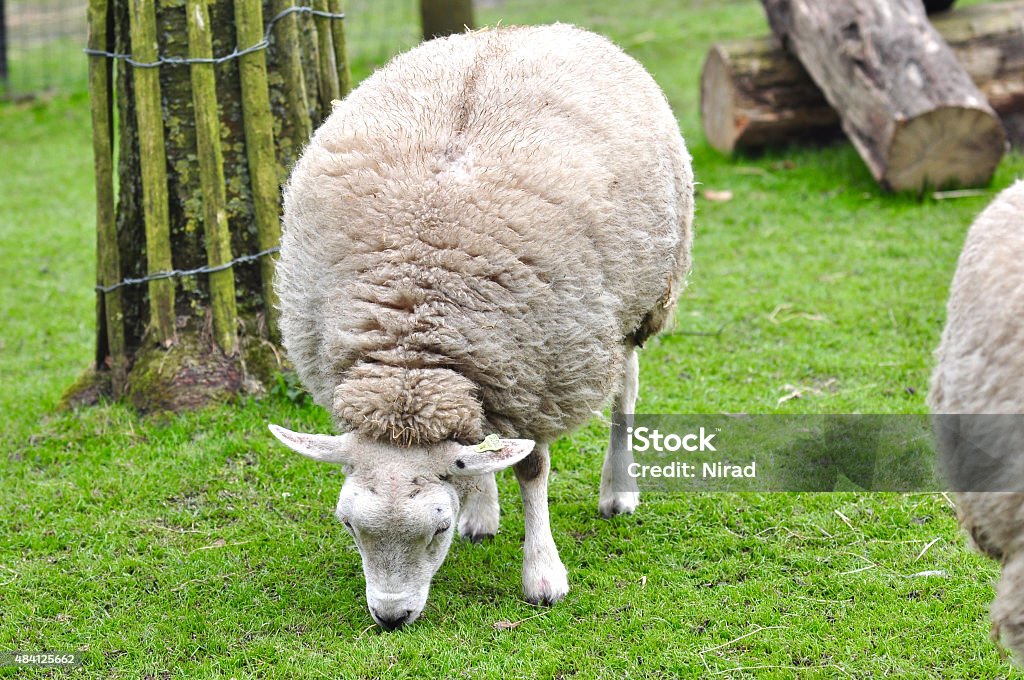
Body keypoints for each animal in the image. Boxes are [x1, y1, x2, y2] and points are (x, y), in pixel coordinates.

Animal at [266, 23, 696, 630]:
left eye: (437, 527)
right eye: (347, 523)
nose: (391, 617)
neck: (413, 359)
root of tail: (521, 29)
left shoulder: (543, 374)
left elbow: (533, 469)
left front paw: (543, 574)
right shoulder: (496, 364)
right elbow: (484, 453)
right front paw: (481, 507)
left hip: (634, 306)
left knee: (625, 390)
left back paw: (617, 491)